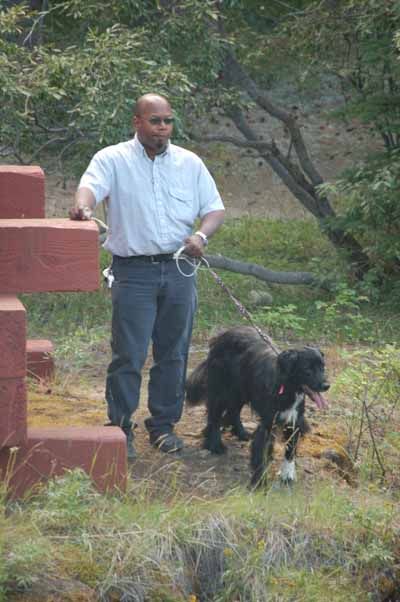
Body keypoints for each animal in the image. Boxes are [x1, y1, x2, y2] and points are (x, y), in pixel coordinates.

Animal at [186, 326, 330, 486]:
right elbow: (261, 451)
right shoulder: (267, 424)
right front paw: (260, 480)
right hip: (222, 389)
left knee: (233, 411)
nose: (326, 386)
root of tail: (222, 334)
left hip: (240, 390)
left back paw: (241, 433)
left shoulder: (293, 420)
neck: (287, 387)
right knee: (214, 415)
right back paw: (215, 444)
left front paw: (287, 474)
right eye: (307, 370)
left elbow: (290, 451)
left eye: (323, 367)